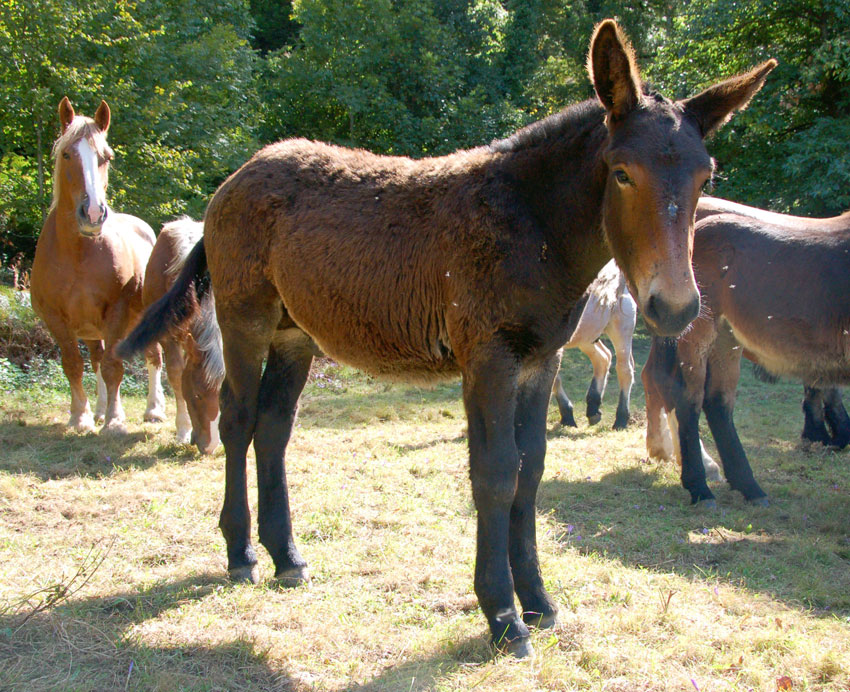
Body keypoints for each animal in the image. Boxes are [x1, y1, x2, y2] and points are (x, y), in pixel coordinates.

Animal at [30, 97, 163, 432]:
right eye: (66, 154)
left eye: (106, 157)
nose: (92, 214)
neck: (79, 252)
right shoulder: (56, 319)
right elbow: (75, 365)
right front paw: (81, 416)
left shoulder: (116, 311)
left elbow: (113, 366)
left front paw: (115, 420)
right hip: (91, 327)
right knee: (96, 358)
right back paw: (101, 409)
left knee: (153, 357)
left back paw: (153, 410)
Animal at [548, 260, 636, 432]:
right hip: (587, 336)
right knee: (603, 358)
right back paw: (593, 408)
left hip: (621, 327)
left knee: (625, 370)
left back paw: (621, 419)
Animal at [644, 197, 848, 506]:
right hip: (698, 336)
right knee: (687, 397)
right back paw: (700, 486)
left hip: (726, 340)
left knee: (717, 401)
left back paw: (748, 485)